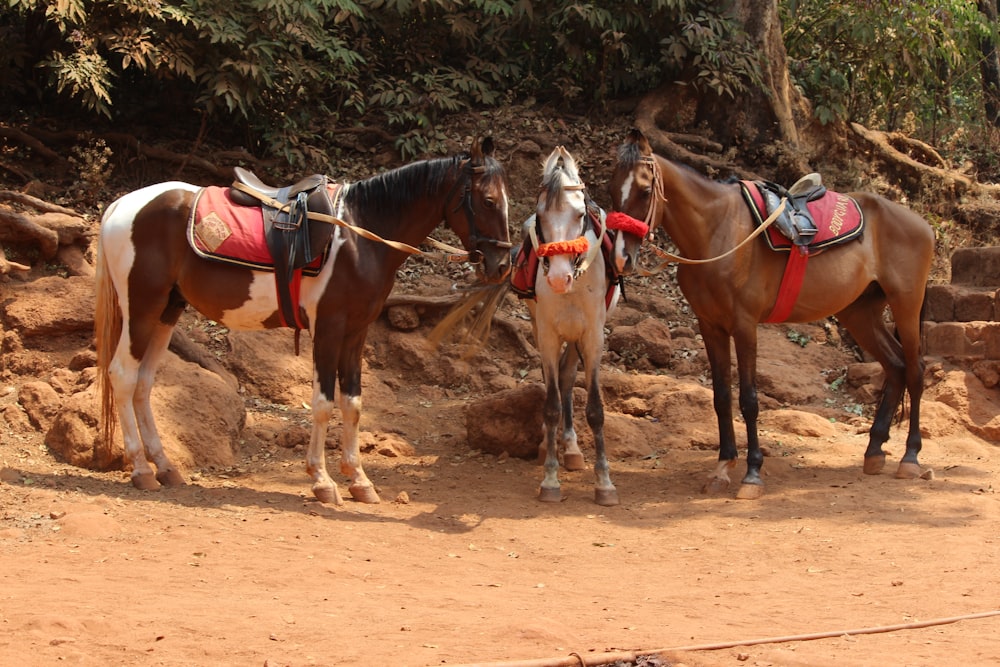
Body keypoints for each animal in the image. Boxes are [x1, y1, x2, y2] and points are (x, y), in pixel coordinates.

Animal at [94, 138, 512, 504]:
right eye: (489, 200)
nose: (502, 265)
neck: (360, 237)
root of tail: (120, 207)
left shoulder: (357, 331)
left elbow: (353, 403)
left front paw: (359, 480)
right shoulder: (328, 328)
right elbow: (324, 403)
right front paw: (323, 481)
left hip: (167, 312)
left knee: (144, 383)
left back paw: (165, 467)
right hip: (141, 309)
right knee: (123, 376)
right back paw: (141, 470)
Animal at [608, 128, 936, 498]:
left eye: (645, 190)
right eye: (611, 189)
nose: (621, 257)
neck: (717, 232)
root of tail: (922, 224)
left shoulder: (744, 325)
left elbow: (749, 400)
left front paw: (752, 473)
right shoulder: (710, 326)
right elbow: (721, 396)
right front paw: (723, 467)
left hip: (906, 303)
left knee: (915, 371)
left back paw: (910, 457)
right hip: (859, 313)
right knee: (895, 366)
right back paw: (875, 450)